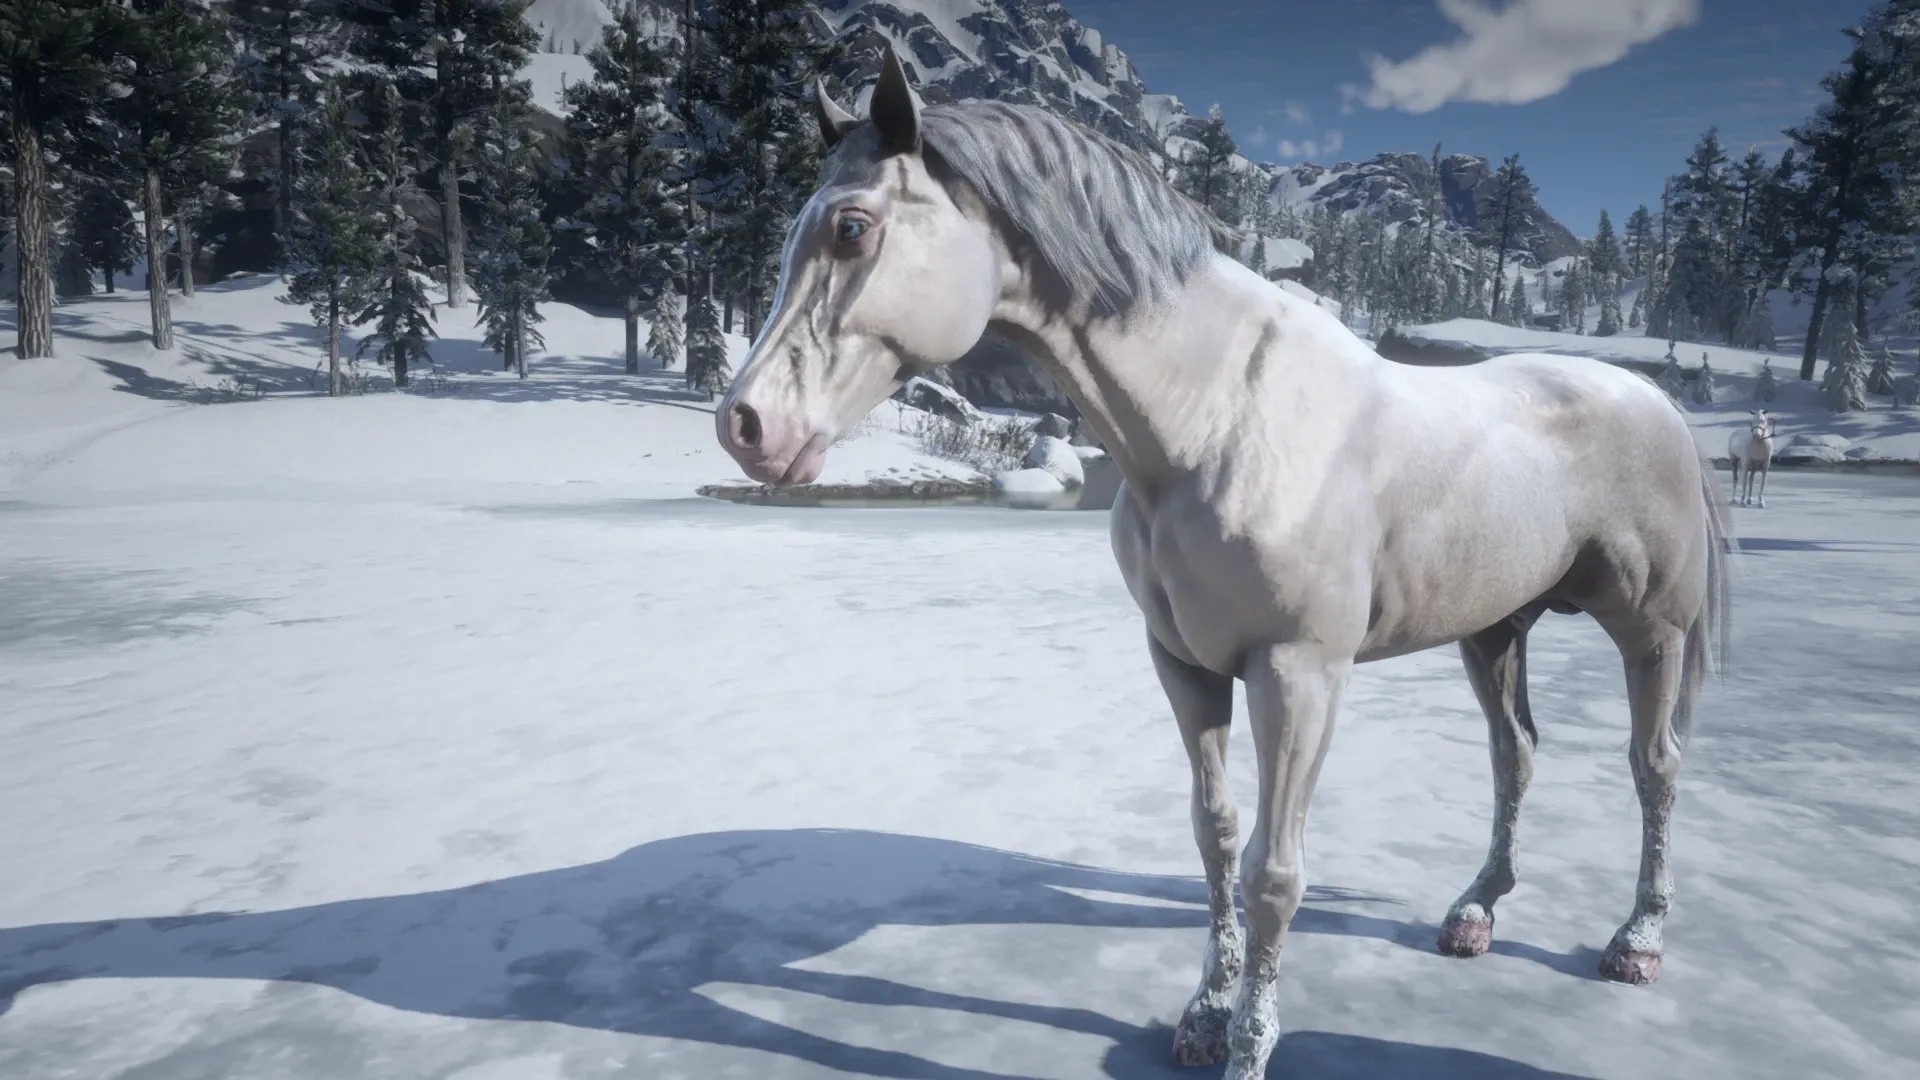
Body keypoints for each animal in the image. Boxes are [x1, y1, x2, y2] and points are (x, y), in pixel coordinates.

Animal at [714, 46, 1733, 1080]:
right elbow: (1216, 838)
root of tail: (1657, 402)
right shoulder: (1187, 667)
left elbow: (1273, 872)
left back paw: (1637, 940)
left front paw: (1250, 1044)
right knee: (1514, 757)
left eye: (851, 226)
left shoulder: (1298, 677)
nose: (746, 425)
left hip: (1650, 633)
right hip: (1493, 632)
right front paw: (1205, 1015)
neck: (1212, 424)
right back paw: (1475, 913)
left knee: (1654, 764)